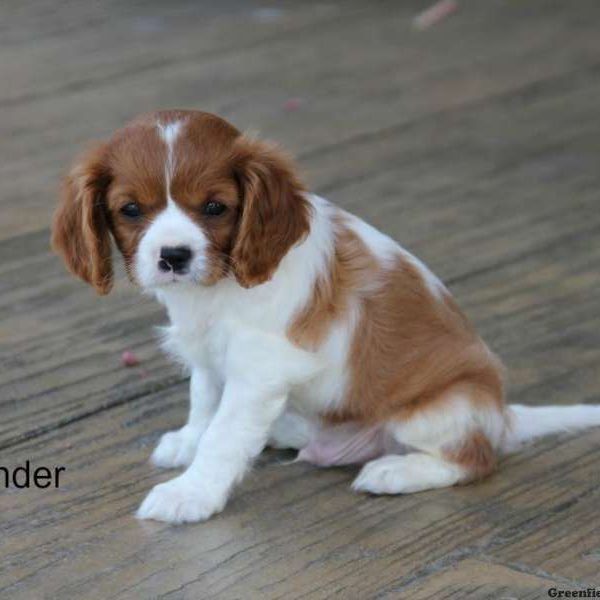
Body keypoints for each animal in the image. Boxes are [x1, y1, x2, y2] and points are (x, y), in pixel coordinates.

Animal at [51, 110, 600, 524]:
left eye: (214, 207)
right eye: (130, 209)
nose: (174, 257)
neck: (215, 290)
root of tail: (501, 415)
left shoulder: (260, 370)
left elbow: (225, 435)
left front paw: (192, 493)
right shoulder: (210, 356)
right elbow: (204, 402)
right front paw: (189, 441)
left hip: (440, 410)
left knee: (474, 459)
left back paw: (395, 472)